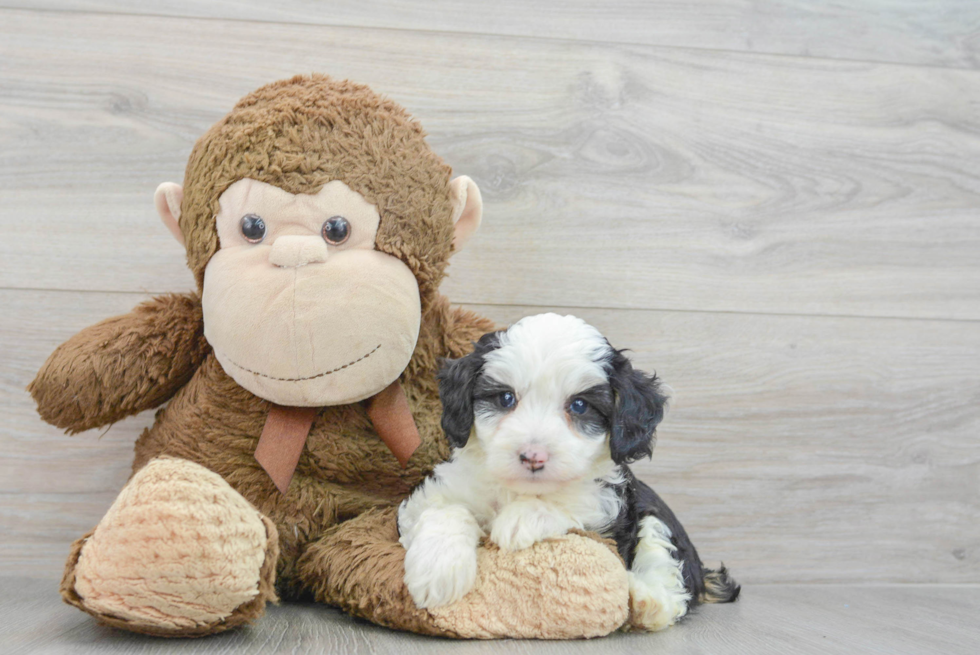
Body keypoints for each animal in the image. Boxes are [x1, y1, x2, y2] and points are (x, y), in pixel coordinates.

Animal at [394, 316, 740, 632]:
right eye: (506, 398)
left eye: (579, 405)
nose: (533, 456)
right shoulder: (432, 495)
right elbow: (445, 510)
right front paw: (438, 568)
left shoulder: (607, 512)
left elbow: (569, 509)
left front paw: (521, 519)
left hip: (658, 523)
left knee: (669, 583)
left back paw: (642, 600)